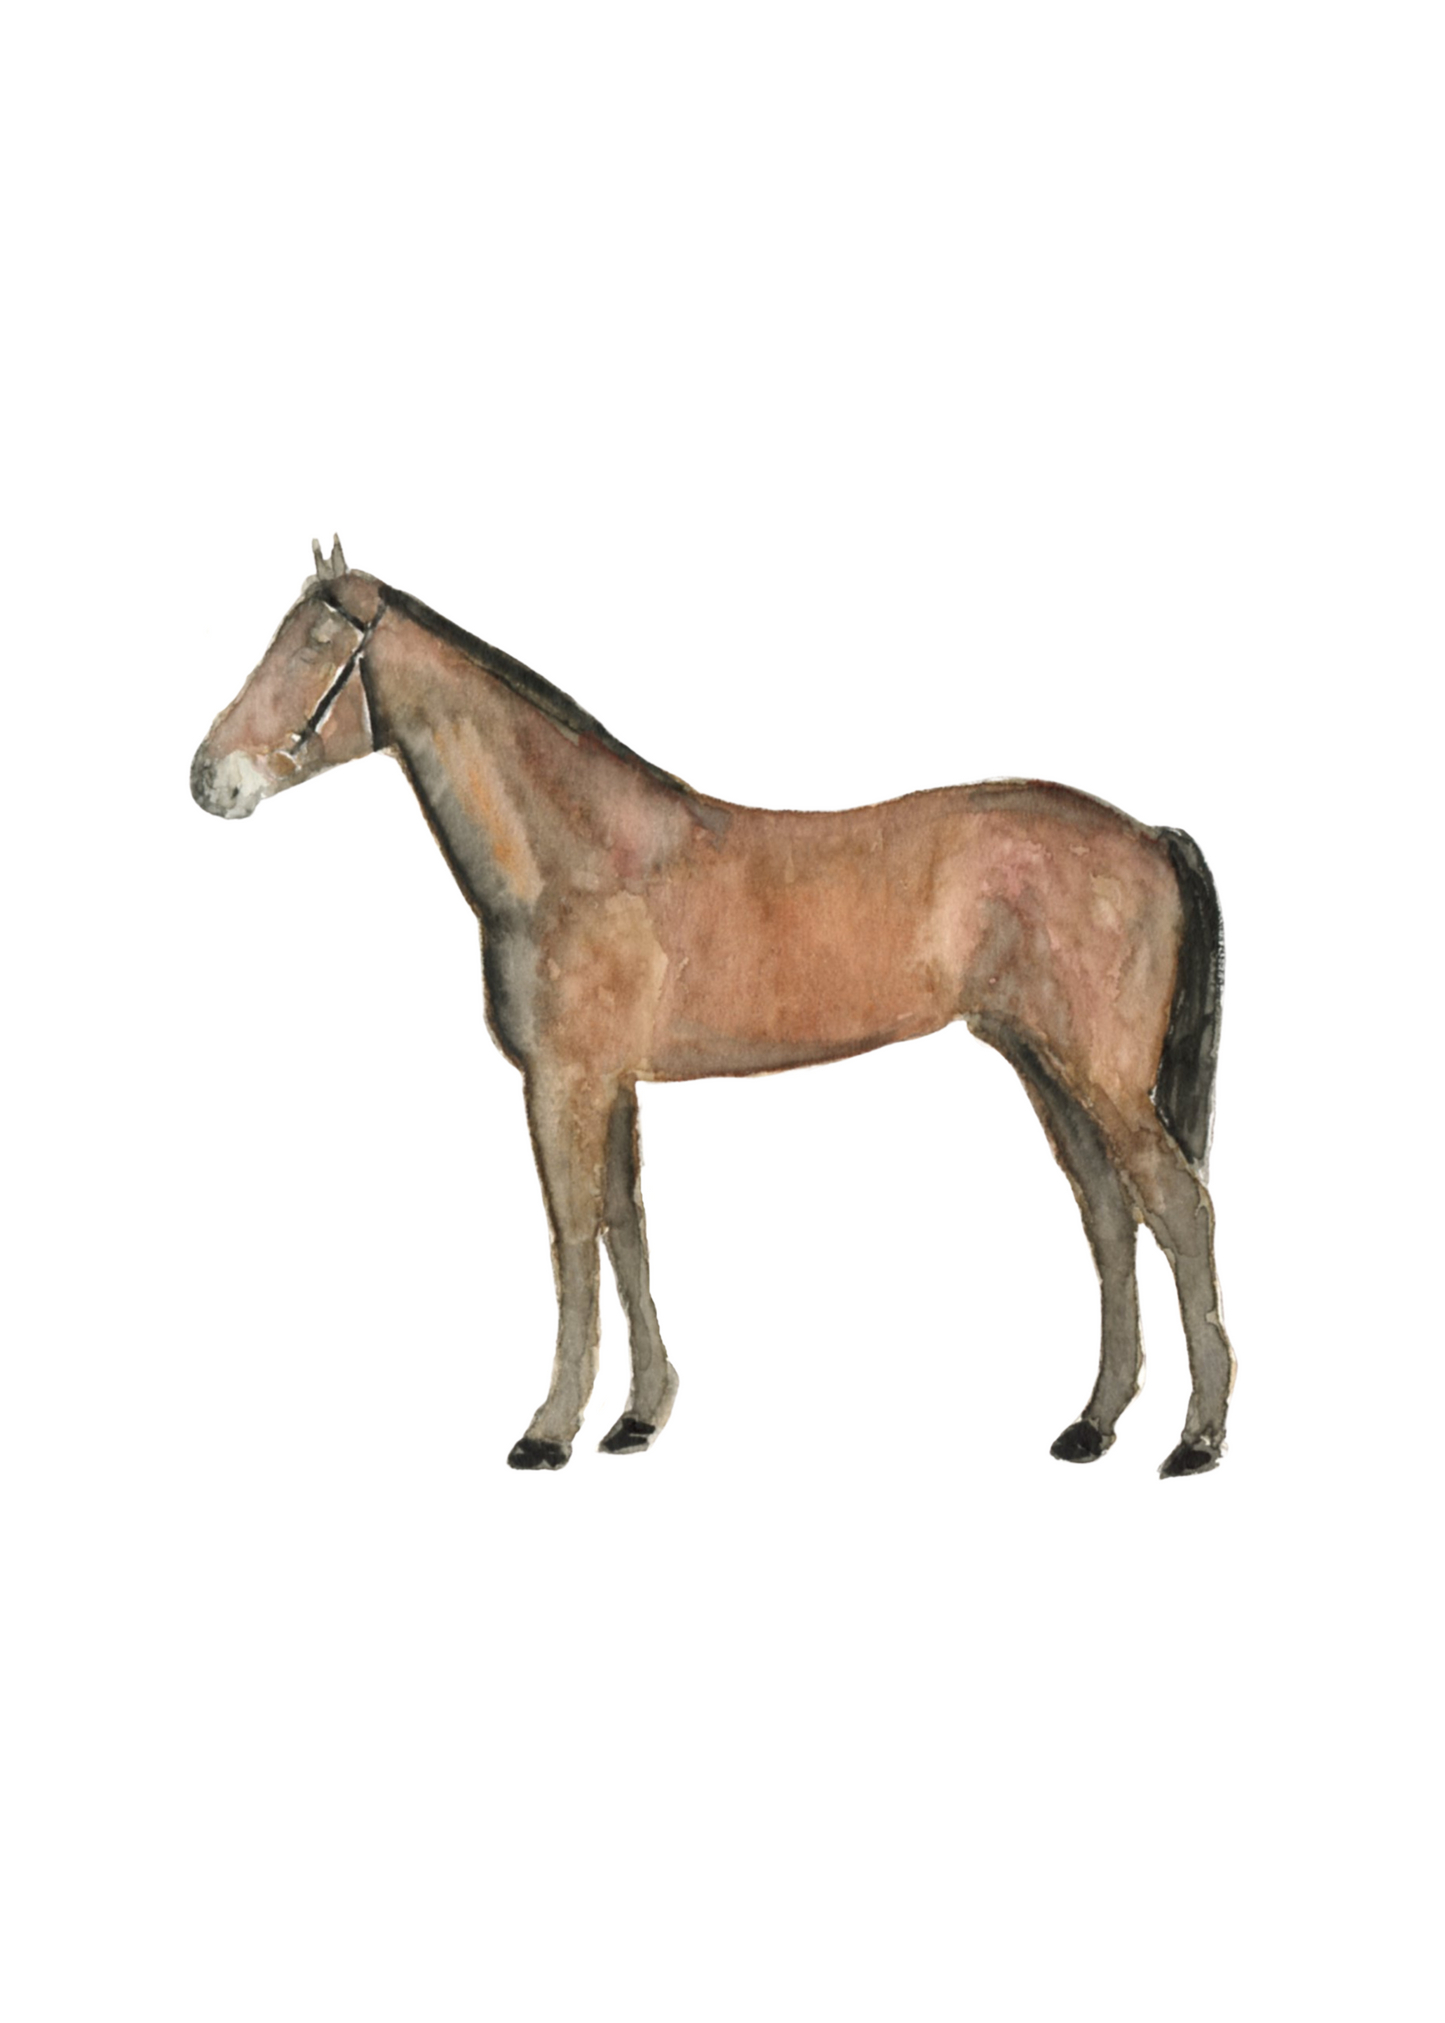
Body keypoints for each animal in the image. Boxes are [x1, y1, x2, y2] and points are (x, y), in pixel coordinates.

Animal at [191, 538, 1234, 1478]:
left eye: (315, 648)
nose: (210, 778)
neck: (582, 859)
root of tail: (1148, 833)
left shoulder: (562, 1083)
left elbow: (573, 1240)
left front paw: (547, 1432)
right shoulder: (611, 1084)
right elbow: (625, 1228)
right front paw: (635, 1418)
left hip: (1098, 1075)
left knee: (1178, 1208)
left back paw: (1195, 1439)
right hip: (1040, 1063)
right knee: (1107, 1213)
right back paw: (1091, 1425)